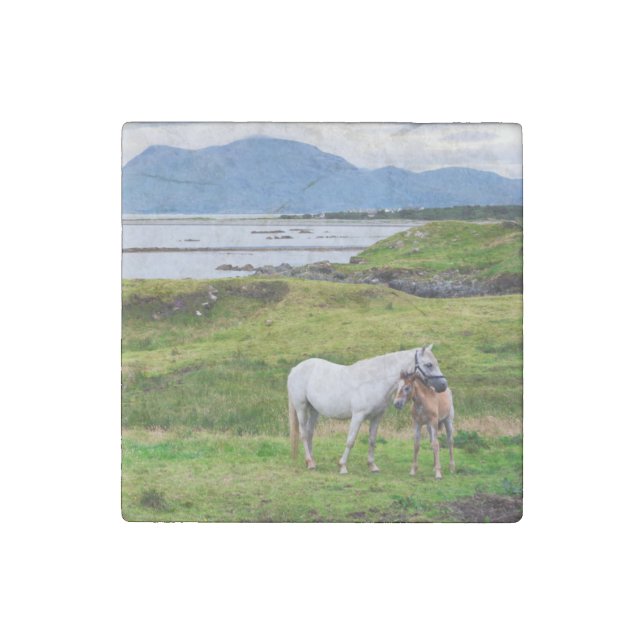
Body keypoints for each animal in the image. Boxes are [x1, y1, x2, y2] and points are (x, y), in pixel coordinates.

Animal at [288, 345, 447, 474]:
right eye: (429, 364)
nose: (443, 385)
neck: (374, 381)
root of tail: (295, 369)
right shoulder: (358, 416)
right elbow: (350, 440)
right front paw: (343, 466)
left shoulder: (377, 417)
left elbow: (372, 440)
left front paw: (372, 466)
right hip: (301, 408)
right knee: (303, 434)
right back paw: (310, 463)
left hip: (314, 410)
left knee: (309, 433)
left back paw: (311, 461)